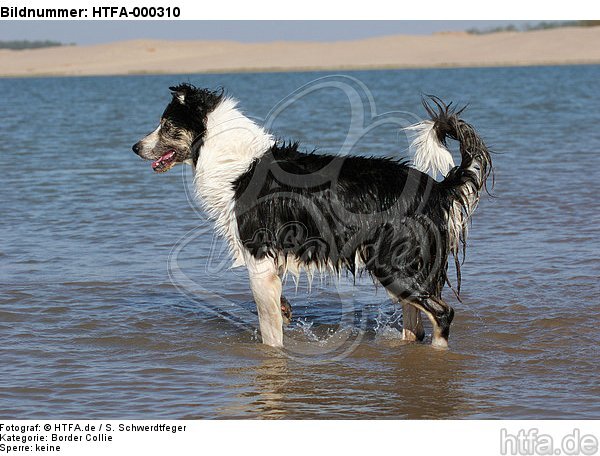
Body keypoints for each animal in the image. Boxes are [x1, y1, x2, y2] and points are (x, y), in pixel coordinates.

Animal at [132, 83, 492, 348]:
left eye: (166, 125)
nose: (135, 147)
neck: (227, 155)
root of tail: (437, 187)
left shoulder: (258, 255)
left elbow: (269, 332)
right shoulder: (272, 260)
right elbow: (278, 308)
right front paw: (286, 310)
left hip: (392, 264)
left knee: (443, 314)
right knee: (416, 324)